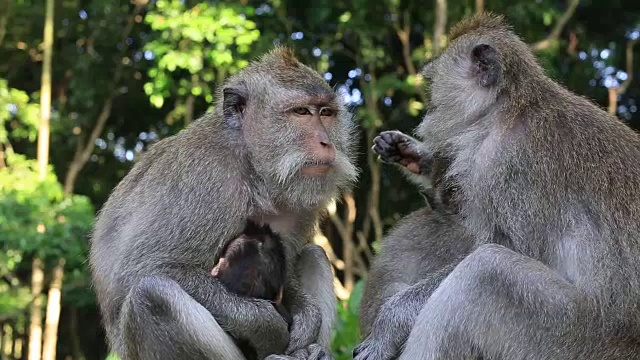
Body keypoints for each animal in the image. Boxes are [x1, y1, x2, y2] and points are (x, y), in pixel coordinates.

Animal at [89, 47, 360, 360]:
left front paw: (306, 315)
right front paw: (266, 324)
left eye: (326, 113)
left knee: (315, 254)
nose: (327, 143)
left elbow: (289, 265)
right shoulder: (207, 179)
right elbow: (141, 269)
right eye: (301, 112)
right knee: (152, 294)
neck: (254, 168)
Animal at [356, 11, 640, 360]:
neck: (510, 107)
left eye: (433, 86)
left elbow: (508, 247)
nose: (429, 111)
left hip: (579, 338)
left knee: (485, 273)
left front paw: (390, 322)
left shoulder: (511, 165)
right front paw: (412, 154)